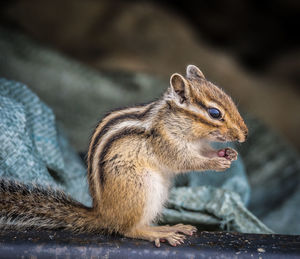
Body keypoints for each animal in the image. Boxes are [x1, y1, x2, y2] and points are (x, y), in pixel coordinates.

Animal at [0, 65, 248, 248]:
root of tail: (103, 214)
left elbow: (203, 151)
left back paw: (172, 226)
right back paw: (159, 233)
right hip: (142, 188)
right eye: (214, 113)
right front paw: (216, 162)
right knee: (128, 229)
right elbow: (185, 161)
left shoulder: (200, 143)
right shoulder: (166, 142)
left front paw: (229, 153)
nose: (244, 134)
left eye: (229, 99)